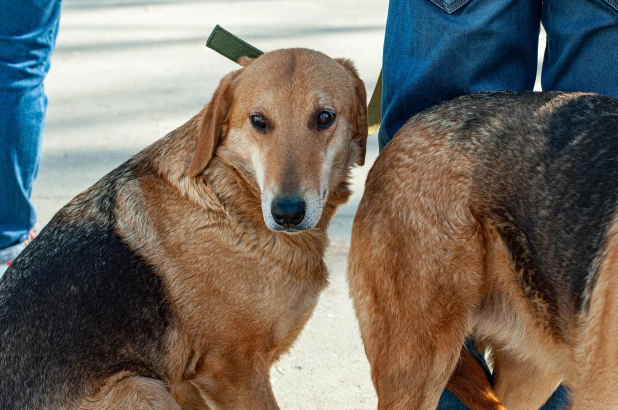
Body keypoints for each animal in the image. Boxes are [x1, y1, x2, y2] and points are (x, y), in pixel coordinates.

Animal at [0, 48, 366, 410]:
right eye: (259, 121)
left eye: (324, 118)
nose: (287, 213)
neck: (230, 197)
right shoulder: (232, 371)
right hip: (143, 387)